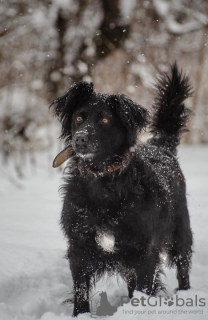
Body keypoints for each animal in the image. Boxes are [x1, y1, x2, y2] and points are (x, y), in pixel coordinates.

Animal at [50, 63, 193, 316]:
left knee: (183, 267)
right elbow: (80, 291)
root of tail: (160, 147)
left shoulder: (144, 252)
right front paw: (80, 315)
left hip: (180, 234)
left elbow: (145, 288)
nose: (80, 139)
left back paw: (185, 294)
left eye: (106, 121)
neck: (103, 180)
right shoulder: (79, 249)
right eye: (79, 117)